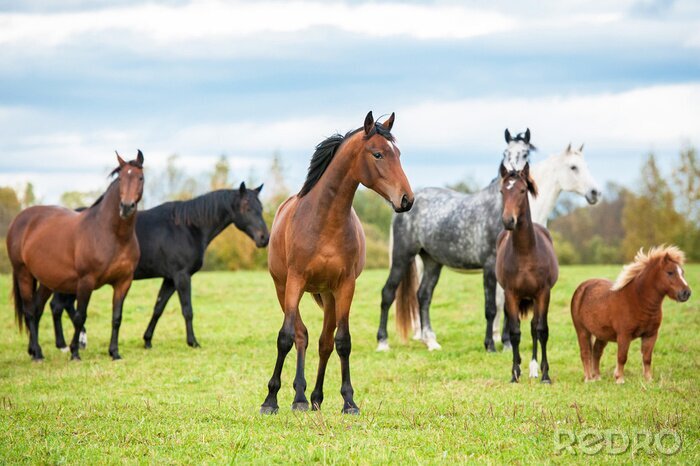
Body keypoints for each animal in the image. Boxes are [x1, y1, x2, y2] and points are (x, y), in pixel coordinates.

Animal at [6, 151, 145, 362]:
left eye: (140, 178)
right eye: (121, 178)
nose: (126, 207)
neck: (111, 235)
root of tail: (19, 219)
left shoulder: (124, 282)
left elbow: (116, 318)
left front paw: (115, 353)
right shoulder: (86, 281)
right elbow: (80, 316)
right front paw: (74, 352)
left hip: (47, 281)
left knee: (37, 309)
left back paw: (35, 351)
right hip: (23, 274)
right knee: (29, 312)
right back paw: (37, 354)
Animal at [50, 182, 270, 350]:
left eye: (261, 208)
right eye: (247, 208)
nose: (264, 238)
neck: (188, 227)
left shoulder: (170, 279)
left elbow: (158, 307)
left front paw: (147, 340)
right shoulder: (182, 276)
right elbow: (187, 309)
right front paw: (193, 342)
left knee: (59, 306)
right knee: (59, 306)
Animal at [260, 112, 412, 416]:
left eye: (398, 154)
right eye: (378, 154)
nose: (406, 199)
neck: (324, 221)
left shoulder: (345, 286)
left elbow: (342, 341)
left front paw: (349, 401)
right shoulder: (294, 281)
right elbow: (285, 337)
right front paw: (270, 400)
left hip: (328, 295)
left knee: (323, 342)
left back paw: (313, 397)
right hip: (283, 288)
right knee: (301, 336)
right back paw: (299, 397)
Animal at [494, 163, 560, 382]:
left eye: (523, 190)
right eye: (502, 191)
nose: (508, 221)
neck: (525, 254)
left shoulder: (543, 293)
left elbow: (542, 330)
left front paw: (545, 374)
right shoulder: (511, 294)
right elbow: (514, 332)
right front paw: (514, 373)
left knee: (534, 327)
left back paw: (534, 367)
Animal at [572, 246, 692, 384]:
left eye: (682, 272)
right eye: (670, 272)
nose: (686, 293)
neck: (638, 300)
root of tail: (582, 287)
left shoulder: (650, 335)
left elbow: (647, 358)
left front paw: (649, 379)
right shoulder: (624, 335)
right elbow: (622, 357)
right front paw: (619, 379)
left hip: (602, 334)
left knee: (596, 352)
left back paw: (597, 377)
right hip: (582, 331)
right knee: (585, 352)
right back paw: (588, 378)